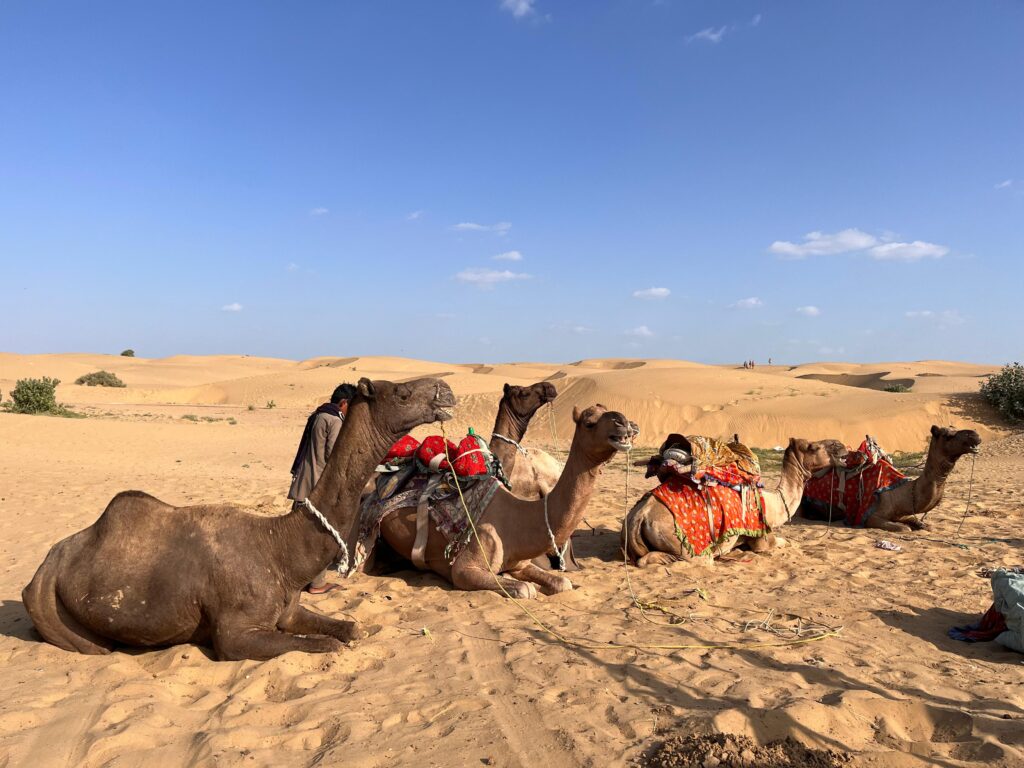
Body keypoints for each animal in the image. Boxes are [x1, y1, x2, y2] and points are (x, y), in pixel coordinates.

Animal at [22, 377, 456, 660]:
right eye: (402, 392)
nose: (446, 390)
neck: (280, 547)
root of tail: (41, 571)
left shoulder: (287, 609)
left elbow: (349, 628)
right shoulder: (235, 633)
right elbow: (324, 645)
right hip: (56, 614)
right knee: (95, 645)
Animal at [376, 405, 637, 598]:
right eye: (589, 422)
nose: (625, 422)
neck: (515, 519)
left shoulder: (520, 562)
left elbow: (563, 583)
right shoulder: (465, 568)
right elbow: (524, 590)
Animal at [622, 438, 835, 567]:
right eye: (814, 447)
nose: (838, 445)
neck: (772, 503)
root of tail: (639, 516)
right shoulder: (761, 536)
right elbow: (784, 543)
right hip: (682, 542)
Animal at [801, 425, 981, 533]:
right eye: (948, 435)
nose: (975, 434)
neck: (899, 492)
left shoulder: (901, 513)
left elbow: (922, 524)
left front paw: (921, 524)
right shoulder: (871, 516)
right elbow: (904, 529)